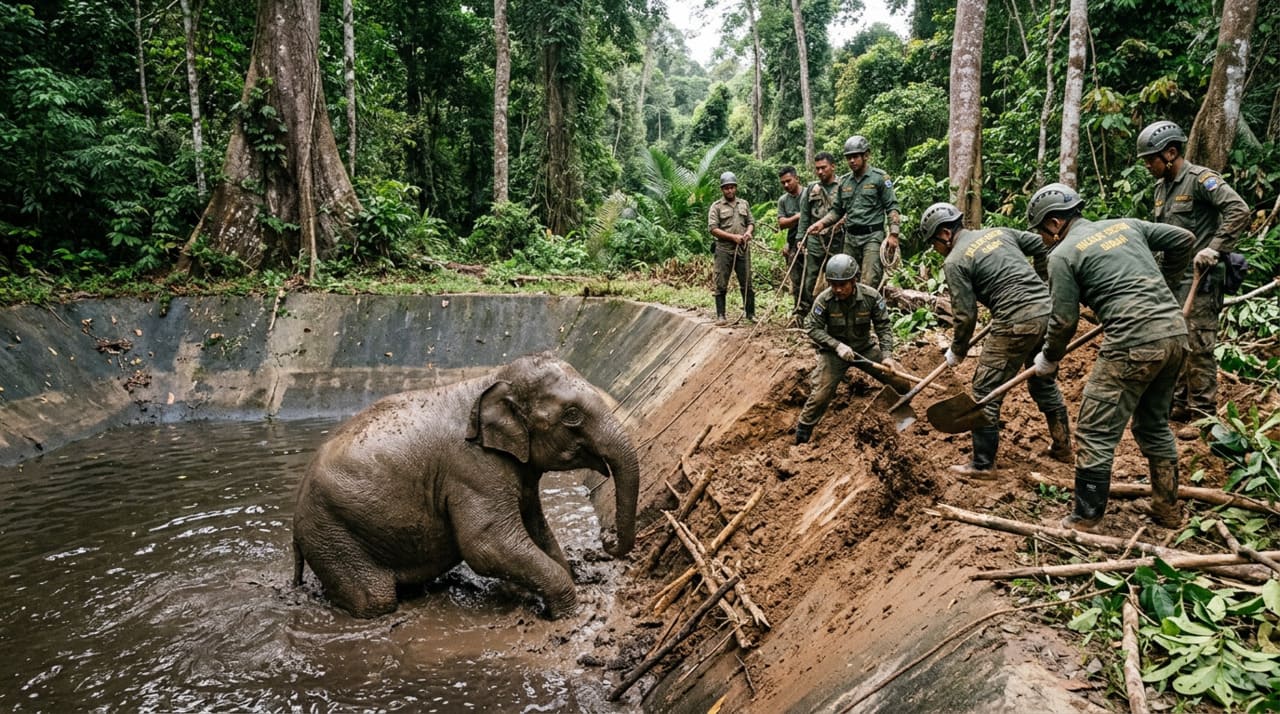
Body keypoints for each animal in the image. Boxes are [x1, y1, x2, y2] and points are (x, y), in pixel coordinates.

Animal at [291, 352, 640, 619]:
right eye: (571, 415)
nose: (607, 540)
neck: (491, 379)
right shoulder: (472, 469)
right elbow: (487, 544)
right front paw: (569, 613)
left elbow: (536, 529)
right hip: (332, 534)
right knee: (375, 599)